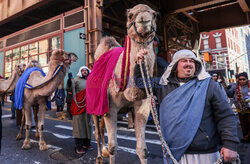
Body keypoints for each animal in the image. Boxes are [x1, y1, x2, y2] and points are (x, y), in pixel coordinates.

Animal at [92, 4, 156, 164]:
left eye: (155, 14)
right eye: (130, 15)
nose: (144, 19)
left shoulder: (142, 107)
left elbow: (142, 150)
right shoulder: (110, 108)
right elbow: (113, 147)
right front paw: (108, 152)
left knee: (101, 129)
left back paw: (103, 153)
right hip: (94, 108)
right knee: (97, 133)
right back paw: (99, 157)